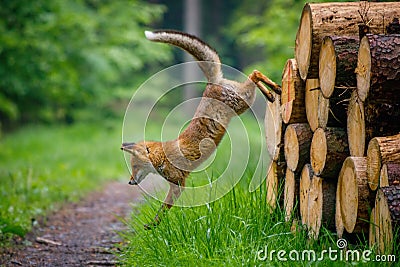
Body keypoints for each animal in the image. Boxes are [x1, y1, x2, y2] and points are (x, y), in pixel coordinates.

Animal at [122, 30, 282, 229]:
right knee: (253, 75)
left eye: (135, 166)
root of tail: (211, 83)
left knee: (254, 73)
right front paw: (153, 225)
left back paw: (273, 89)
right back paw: (271, 92)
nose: (130, 181)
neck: (163, 156)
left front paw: (153, 225)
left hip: (243, 101)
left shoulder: (178, 184)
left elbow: (164, 208)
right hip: (243, 103)